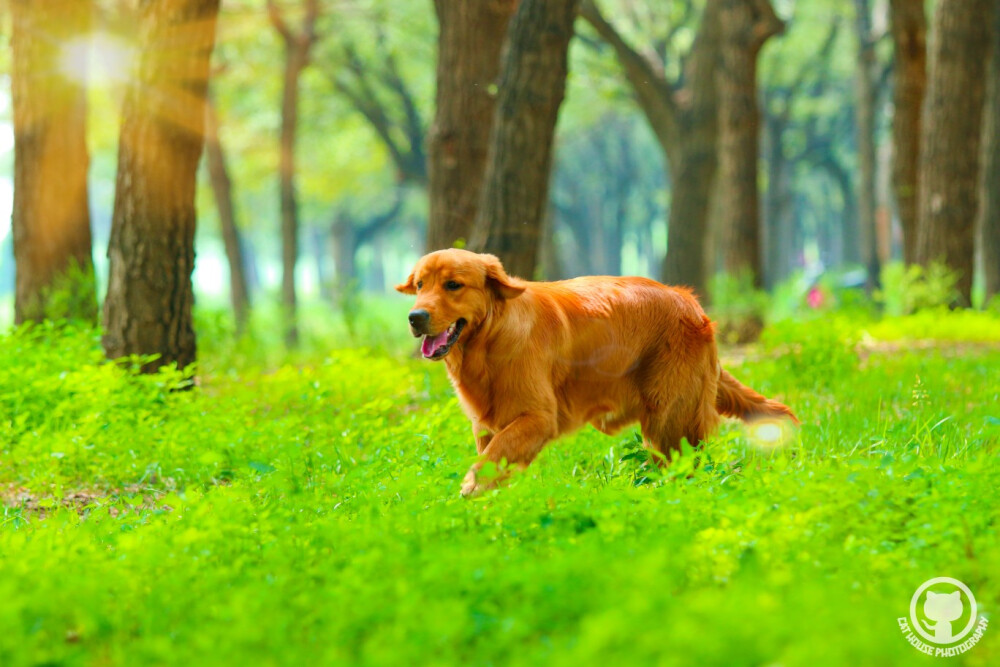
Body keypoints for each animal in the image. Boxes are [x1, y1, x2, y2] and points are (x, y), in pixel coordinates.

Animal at [398, 250, 796, 496]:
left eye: (453, 285)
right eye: (420, 285)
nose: (415, 317)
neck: (490, 338)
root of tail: (691, 303)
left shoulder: (538, 418)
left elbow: (495, 454)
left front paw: (470, 488)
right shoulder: (485, 425)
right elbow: (495, 457)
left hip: (669, 418)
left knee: (686, 464)